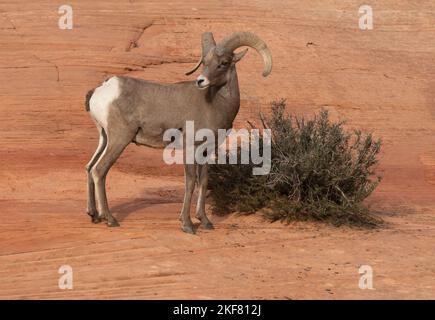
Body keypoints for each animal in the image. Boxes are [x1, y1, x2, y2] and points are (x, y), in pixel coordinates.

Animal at [85, 31, 272, 234]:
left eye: (223, 62)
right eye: (205, 62)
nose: (201, 81)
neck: (215, 103)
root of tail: (102, 90)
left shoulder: (206, 152)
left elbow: (203, 182)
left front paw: (205, 221)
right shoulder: (190, 149)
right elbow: (190, 183)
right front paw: (187, 224)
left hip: (104, 138)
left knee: (89, 167)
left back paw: (93, 215)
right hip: (119, 139)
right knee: (99, 170)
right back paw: (110, 219)